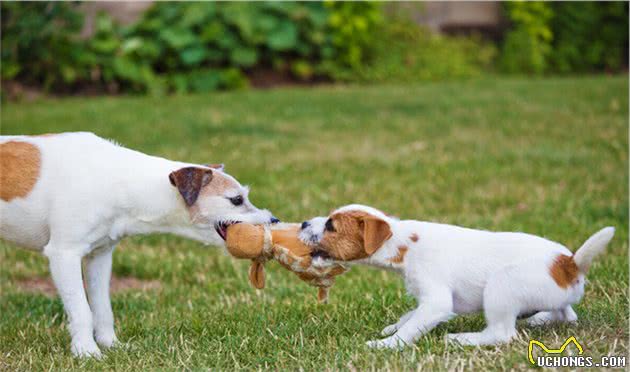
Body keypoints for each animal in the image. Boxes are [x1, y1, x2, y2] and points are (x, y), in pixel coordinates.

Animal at [0, 133, 278, 358]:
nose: (274, 221)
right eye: (236, 199)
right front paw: (87, 352)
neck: (119, 180)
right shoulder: (64, 254)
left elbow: (102, 308)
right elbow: (81, 309)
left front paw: (111, 345)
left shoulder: (100, 256)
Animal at [302, 203, 616, 348]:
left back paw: (462, 338)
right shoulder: (431, 301)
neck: (402, 242)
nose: (304, 222)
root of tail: (569, 264)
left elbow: (412, 326)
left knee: (501, 334)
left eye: (331, 226)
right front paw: (393, 327)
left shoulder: (436, 302)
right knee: (567, 313)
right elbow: (409, 316)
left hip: (501, 287)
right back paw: (539, 319)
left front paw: (386, 345)